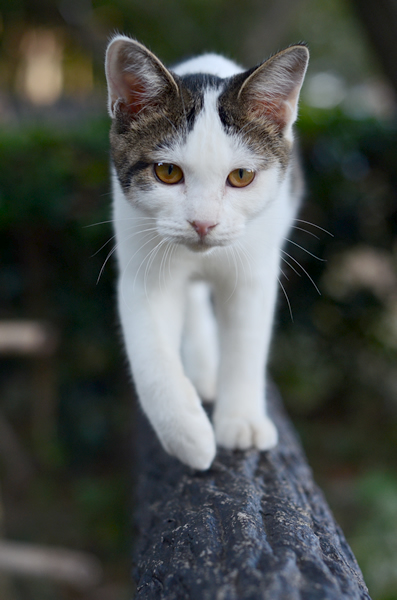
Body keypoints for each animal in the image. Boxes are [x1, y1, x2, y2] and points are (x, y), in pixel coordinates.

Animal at [103, 35, 308, 472]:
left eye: (242, 176)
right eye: (167, 172)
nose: (203, 223)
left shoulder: (255, 271)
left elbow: (247, 342)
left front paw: (242, 421)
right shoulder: (142, 263)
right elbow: (149, 352)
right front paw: (187, 436)